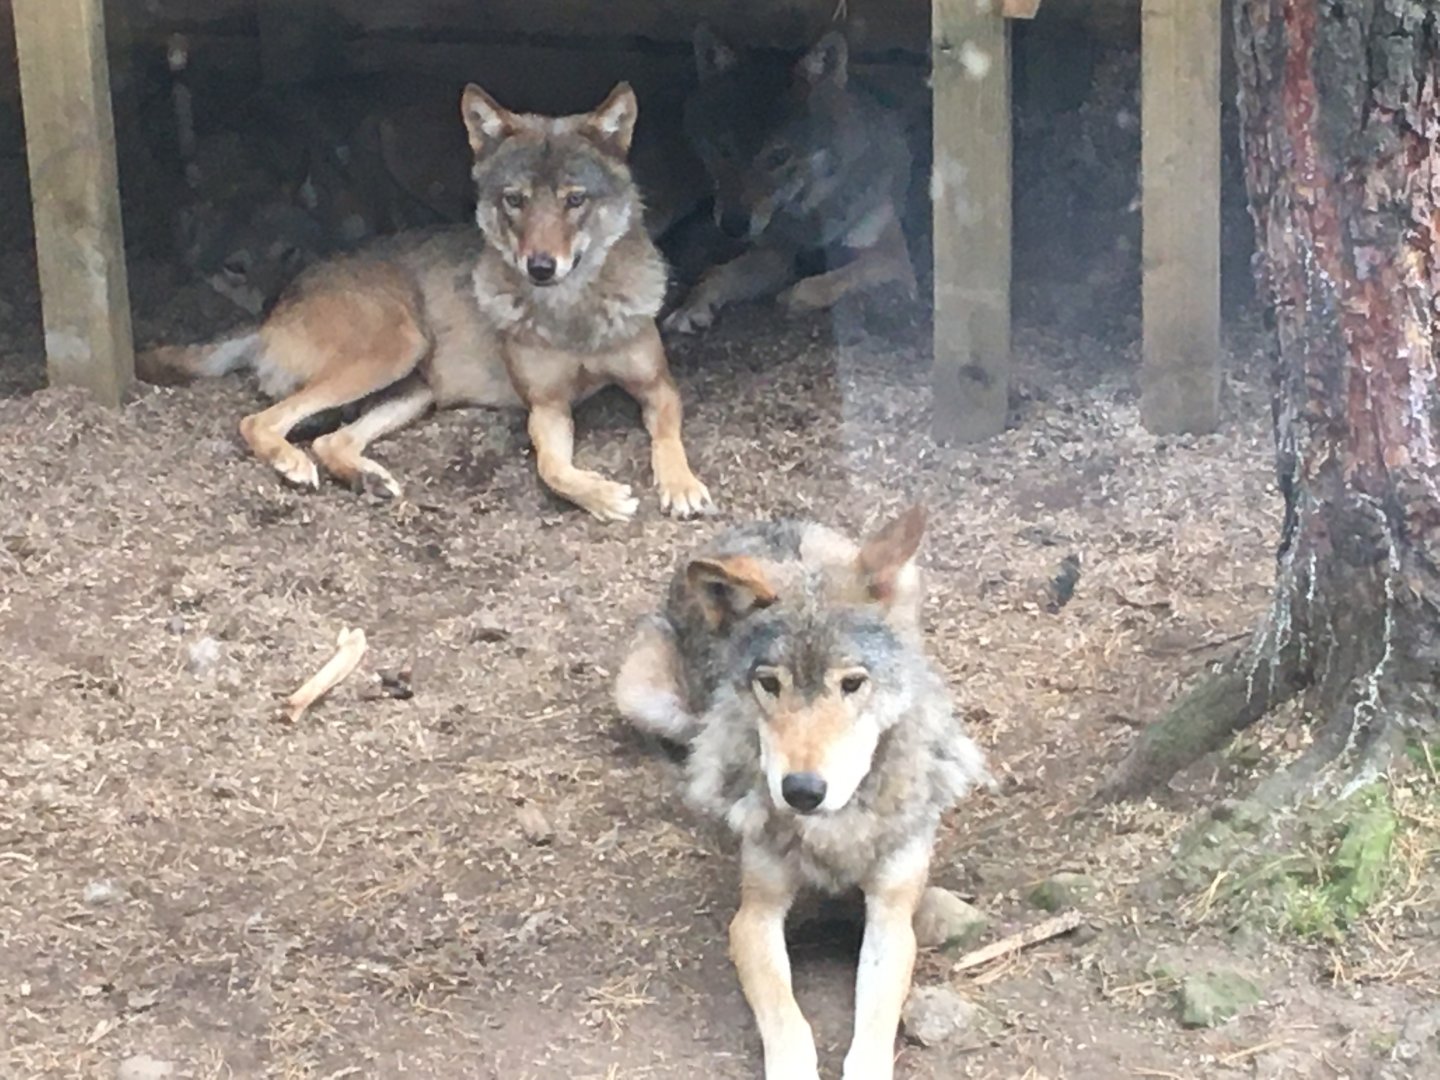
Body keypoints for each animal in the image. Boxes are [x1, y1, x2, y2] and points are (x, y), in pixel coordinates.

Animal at [136, 84, 714, 522]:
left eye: (576, 200)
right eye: (515, 200)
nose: (540, 266)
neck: (573, 313)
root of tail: (272, 312)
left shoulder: (658, 386)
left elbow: (668, 438)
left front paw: (681, 485)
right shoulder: (547, 408)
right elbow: (553, 470)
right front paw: (605, 496)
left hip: (415, 390)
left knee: (331, 442)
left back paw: (368, 479)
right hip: (395, 349)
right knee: (263, 423)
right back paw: (292, 464)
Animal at [614, 507, 993, 1080]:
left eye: (852, 683)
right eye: (770, 683)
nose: (802, 791)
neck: (834, 827)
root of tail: (763, 522)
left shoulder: (891, 912)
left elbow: (874, 1026)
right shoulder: (753, 916)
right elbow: (788, 1021)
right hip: (639, 693)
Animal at [662, 26, 919, 334]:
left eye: (780, 156)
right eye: (724, 150)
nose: (733, 226)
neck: (809, 218)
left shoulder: (894, 260)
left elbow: (832, 280)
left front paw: (794, 298)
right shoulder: (775, 253)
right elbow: (717, 274)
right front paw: (690, 307)